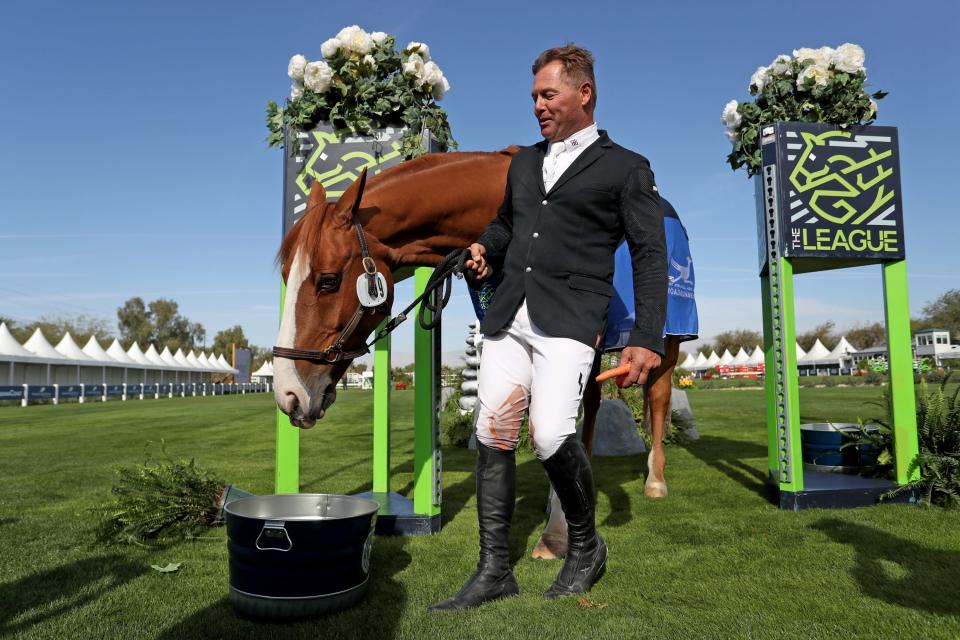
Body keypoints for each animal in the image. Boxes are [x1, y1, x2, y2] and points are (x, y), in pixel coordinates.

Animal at [274, 150, 680, 560]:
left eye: (328, 280)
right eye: (287, 277)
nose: (288, 393)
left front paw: (555, 534)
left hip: (666, 342)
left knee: (658, 395)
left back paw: (656, 480)